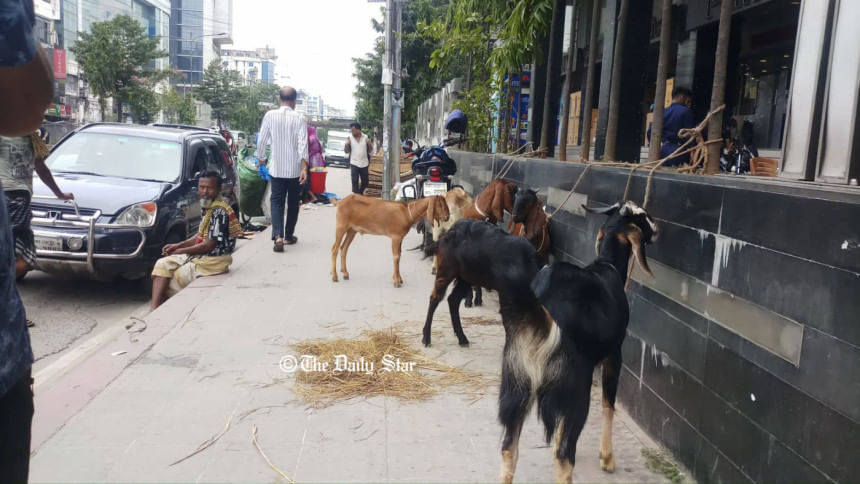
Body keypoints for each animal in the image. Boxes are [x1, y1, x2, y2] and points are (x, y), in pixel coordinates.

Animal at [422, 218, 541, 347]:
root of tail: (449, 232)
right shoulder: (507, 299)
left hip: (465, 279)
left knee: (453, 300)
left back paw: (462, 338)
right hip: (445, 272)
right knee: (435, 298)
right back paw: (426, 337)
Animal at [498, 200, 658, 484]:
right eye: (642, 215)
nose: (658, 227)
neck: (607, 266)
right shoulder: (614, 354)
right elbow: (608, 404)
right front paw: (607, 458)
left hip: (515, 383)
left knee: (508, 448)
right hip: (573, 390)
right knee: (563, 456)